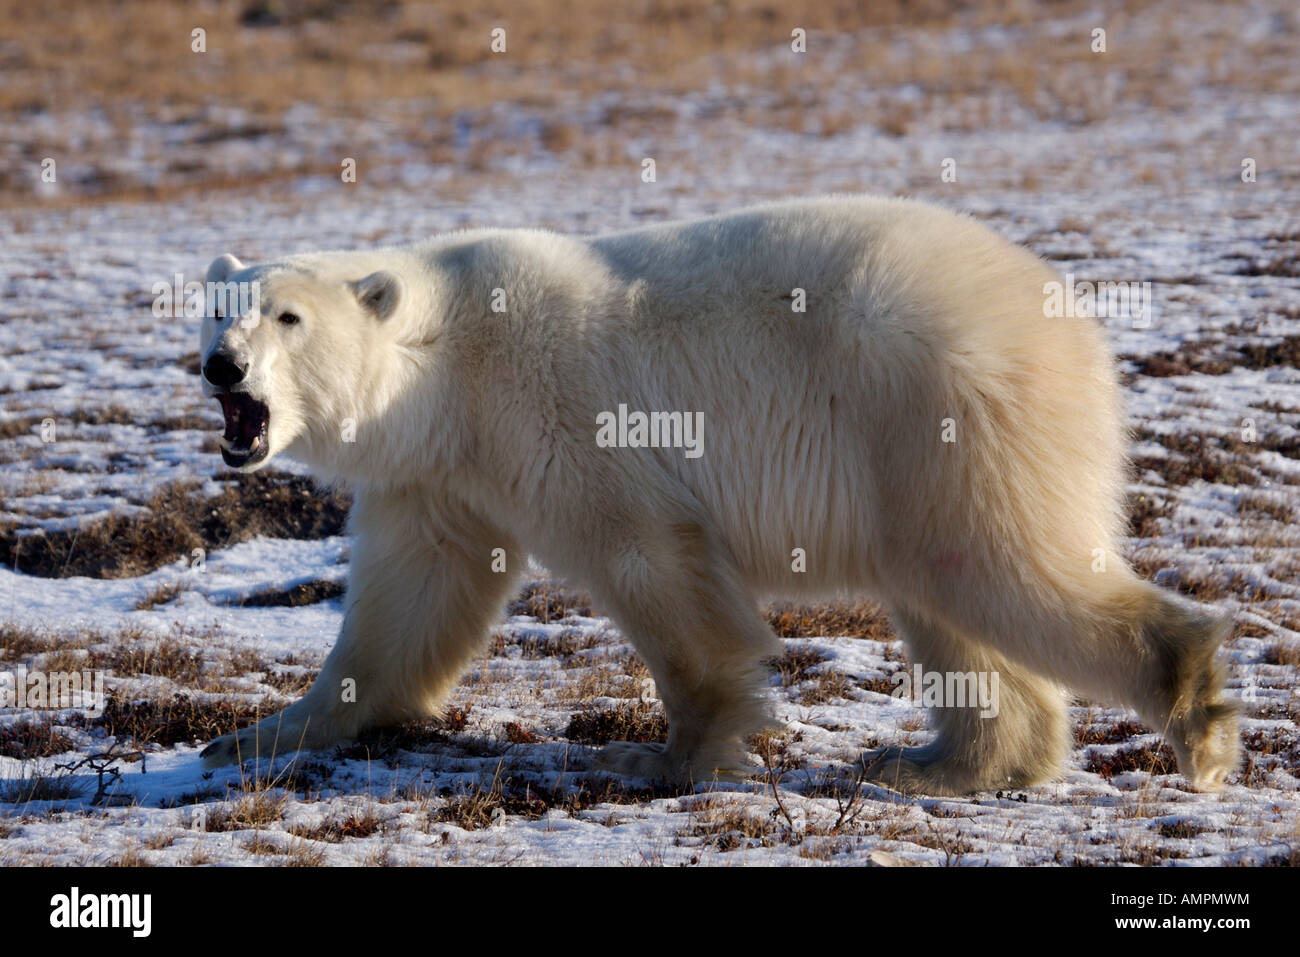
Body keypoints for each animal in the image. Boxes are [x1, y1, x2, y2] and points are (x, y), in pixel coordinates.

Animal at [192, 195, 1237, 790]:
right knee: (953, 594)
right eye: (217, 309)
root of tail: (1067, 324)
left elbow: (656, 568)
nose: (220, 366)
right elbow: (407, 601)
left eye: (287, 317)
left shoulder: (564, 414)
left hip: (938, 405)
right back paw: (939, 764)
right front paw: (255, 736)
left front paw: (661, 758)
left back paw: (1193, 706)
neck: (449, 363)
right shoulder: (441, 473)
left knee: (1002, 568)